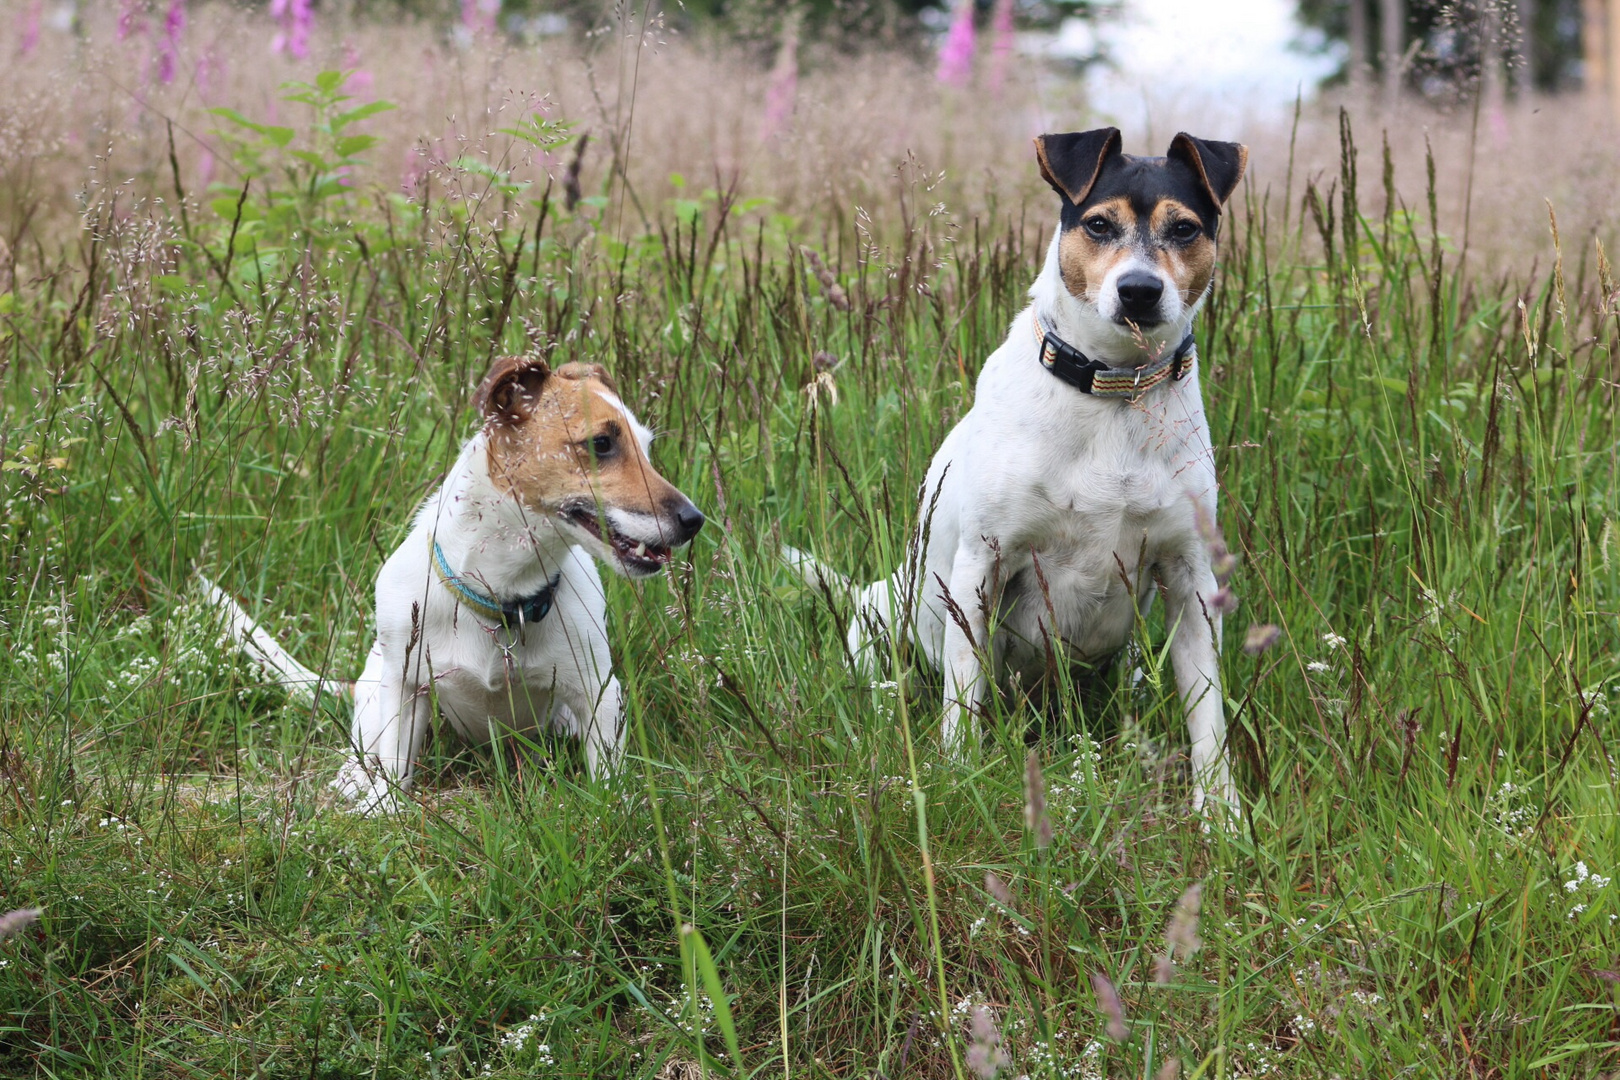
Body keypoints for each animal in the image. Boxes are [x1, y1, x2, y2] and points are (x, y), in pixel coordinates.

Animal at [205, 354, 706, 809]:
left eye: (647, 447)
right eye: (601, 443)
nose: (695, 520)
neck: (504, 598)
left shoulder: (599, 694)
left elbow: (607, 779)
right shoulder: (406, 687)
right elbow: (393, 774)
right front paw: (381, 807)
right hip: (376, 688)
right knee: (365, 745)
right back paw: (354, 776)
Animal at [790, 127, 1244, 816]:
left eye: (1186, 228)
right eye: (1099, 223)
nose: (1139, 290)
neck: (1113, 390)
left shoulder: (1189, 576)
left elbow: (1208, 718)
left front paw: (1222, 816)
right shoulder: (983, 564)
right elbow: (962, 701)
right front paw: (956, 778)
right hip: (881, 611)